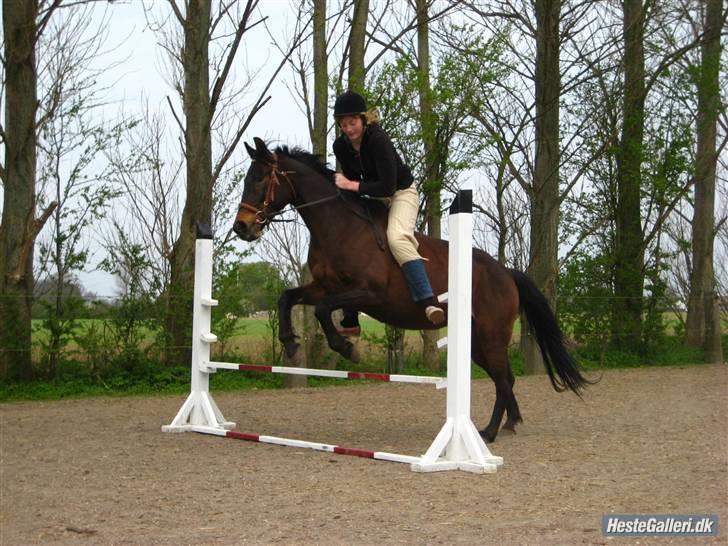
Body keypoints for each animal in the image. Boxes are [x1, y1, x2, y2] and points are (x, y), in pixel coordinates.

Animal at [233, 137, 590, 442]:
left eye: (260, 179)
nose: (241, 227)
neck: (337, 227)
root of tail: (506, 273)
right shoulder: (323, 286)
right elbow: (288, 297)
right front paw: (291, 343)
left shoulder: (370, 294)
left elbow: (322, 310)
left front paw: (347, 348)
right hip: (475, 341)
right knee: (506, 378)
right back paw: (510, 423)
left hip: (491, 335)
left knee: (503, 379)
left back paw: (487, 432)